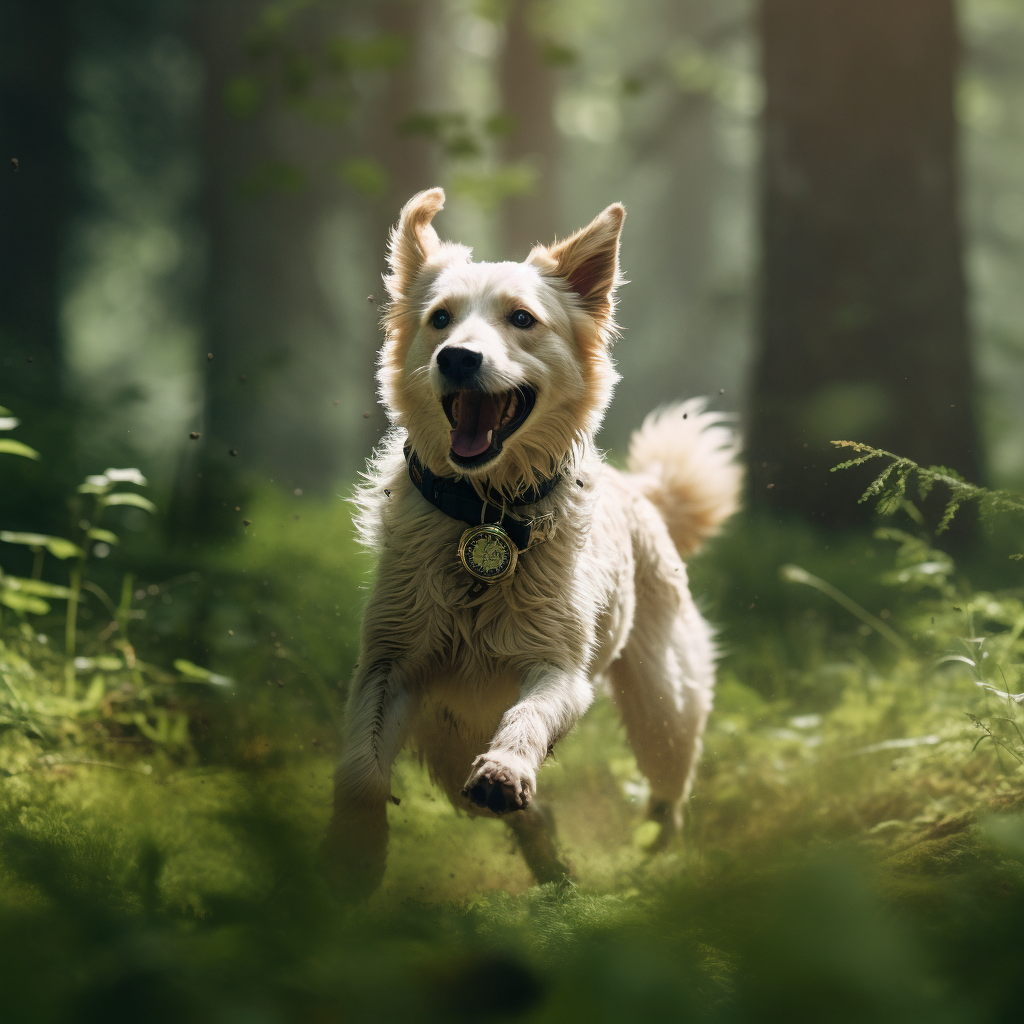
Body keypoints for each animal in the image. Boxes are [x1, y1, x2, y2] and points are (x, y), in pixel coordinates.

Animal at [323, 186, 741, 897]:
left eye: (522, 318)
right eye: (440, 319)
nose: (458, 357)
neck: (484, 514)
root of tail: (640, 489)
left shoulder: (559, 670)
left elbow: (527, 721)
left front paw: (506, 769)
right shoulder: (389, 664)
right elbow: (360, 772)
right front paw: (354, 854)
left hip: (666, 706)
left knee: (670, 798)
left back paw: (651, 862)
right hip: (447, 748)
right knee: (530, 816)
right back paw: (552, 869)